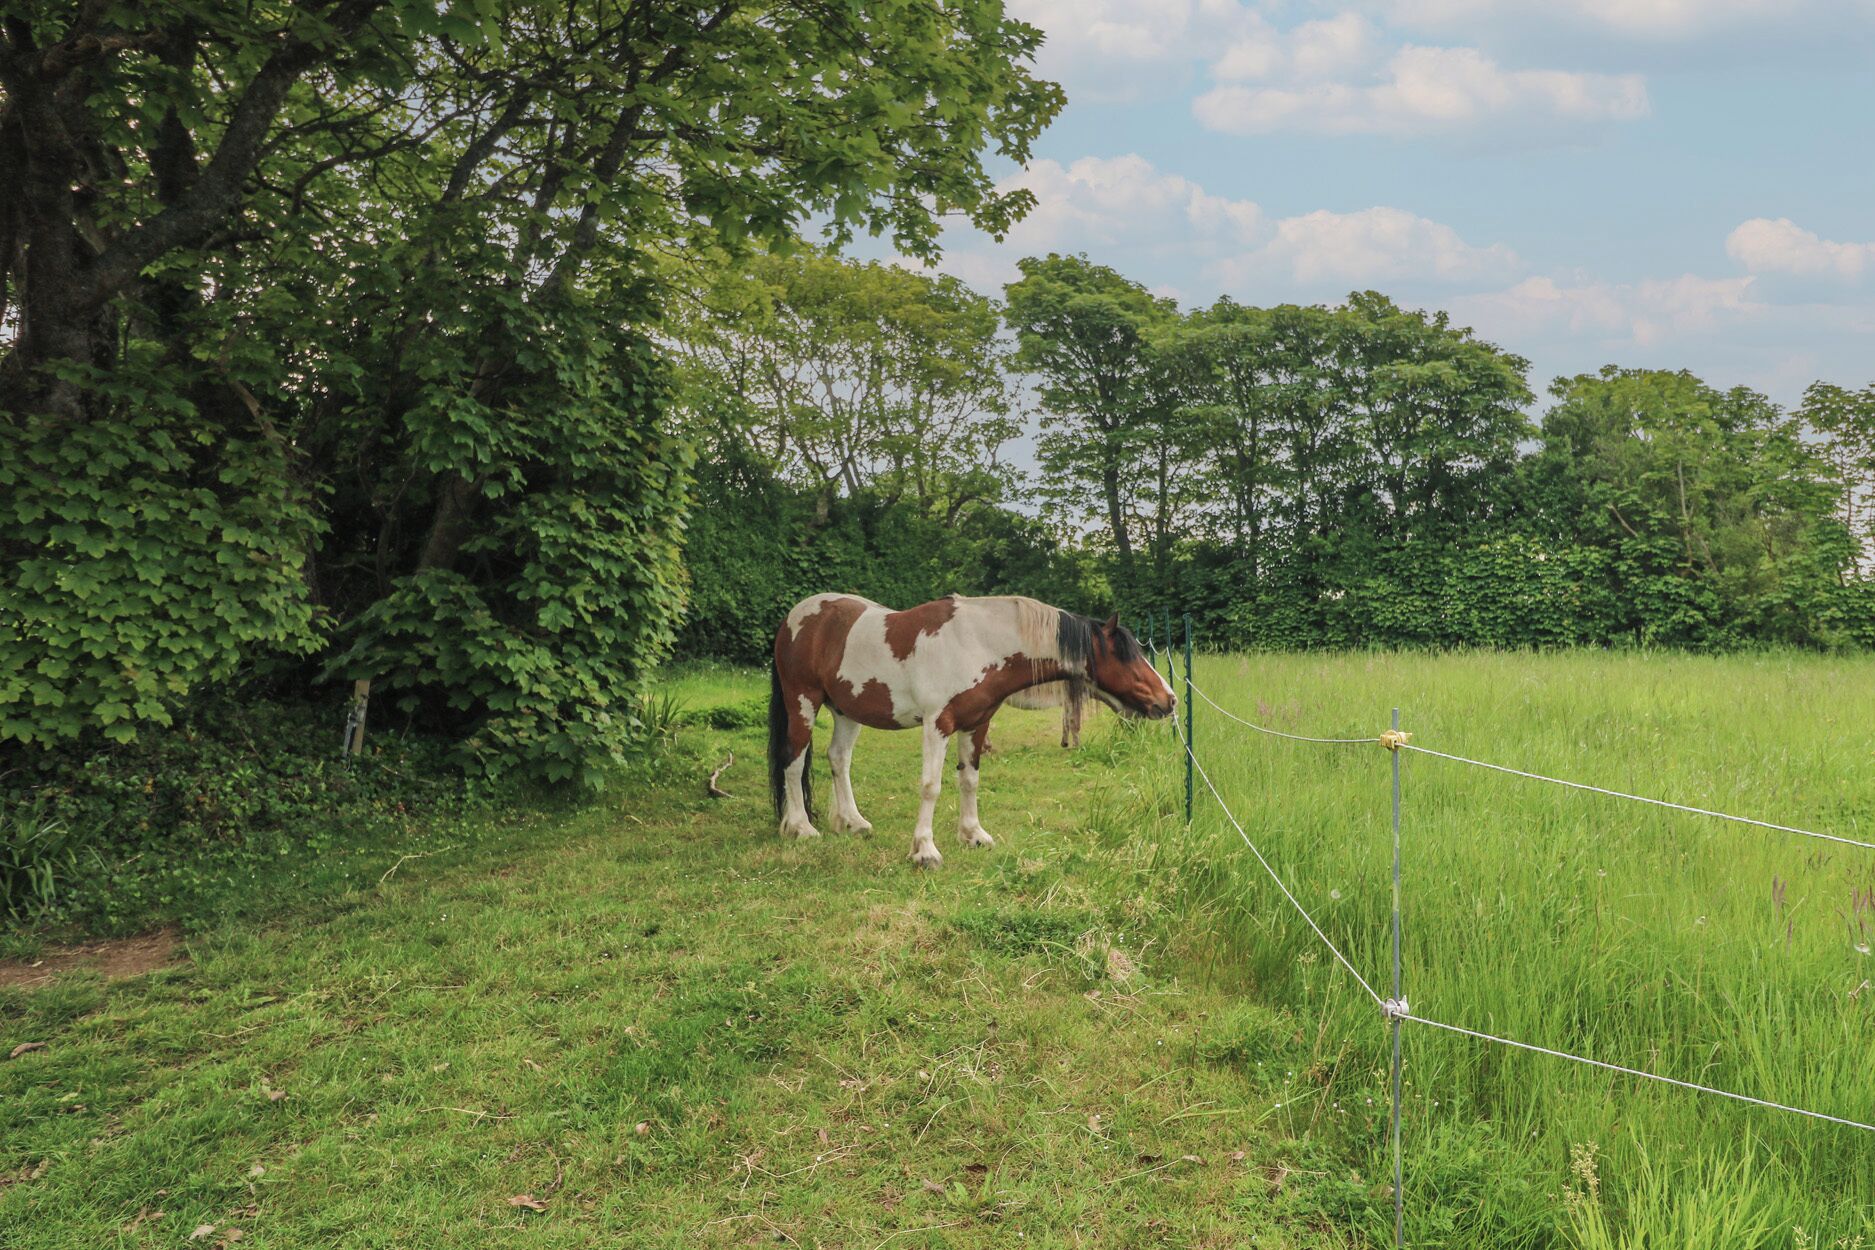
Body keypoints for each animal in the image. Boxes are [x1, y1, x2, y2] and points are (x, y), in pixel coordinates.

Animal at [768, 593, 1175, 868]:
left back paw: (853, 823)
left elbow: (969, 780)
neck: (979, 643)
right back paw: (800, 826)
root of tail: (793, 618)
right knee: (793, 760)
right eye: (1125, 656)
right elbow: (931, 786)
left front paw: (973, 834)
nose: (1168, 700)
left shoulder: (976, 724)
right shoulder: (938, 724)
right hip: (803, 701)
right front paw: (925, 850)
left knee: (839, 759)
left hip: (846, 711)